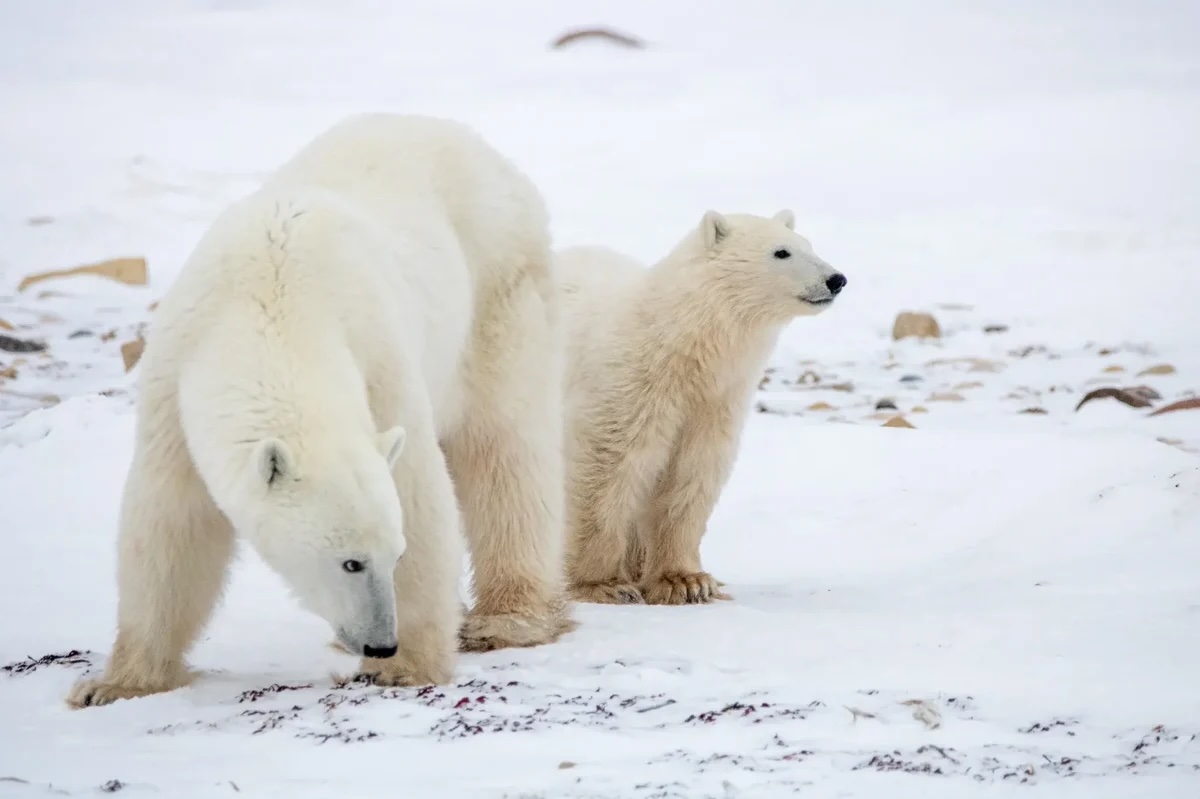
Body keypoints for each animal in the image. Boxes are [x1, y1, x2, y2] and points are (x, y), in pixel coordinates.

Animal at [66, 112, 575, 708]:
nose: (380, 642)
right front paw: (115, 685)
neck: (273, 302)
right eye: (351, 562)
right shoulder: (176, 379)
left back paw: (508, 618)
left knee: (505, 447)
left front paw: (407, 667)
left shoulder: (378, 359)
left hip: (498, 289)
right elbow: (171, 522)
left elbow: (418, 493)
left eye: (394, 555)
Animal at [556, 210, 847, 606]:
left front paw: (686, 581)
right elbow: (607, 467)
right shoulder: (630, 384)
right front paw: (601, 584)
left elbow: (692, 473)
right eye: (781, 252)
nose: (836, 279)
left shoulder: (714, 400)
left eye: (809, 245)